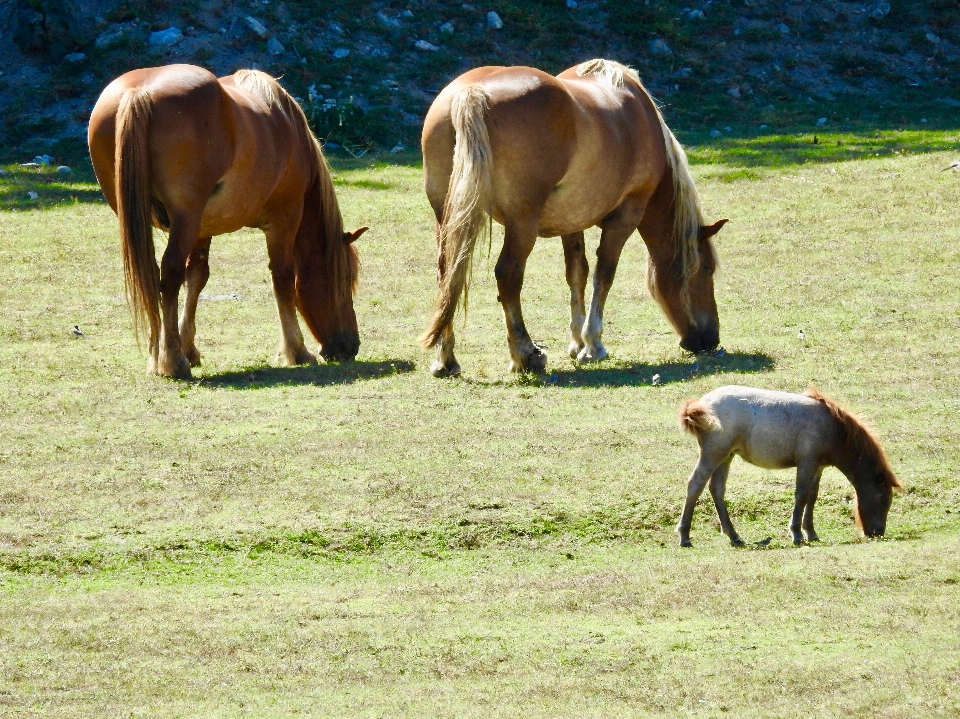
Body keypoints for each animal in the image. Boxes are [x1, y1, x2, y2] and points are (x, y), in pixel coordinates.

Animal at [88, 64, 366, 380]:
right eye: (346, 279)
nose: (350, 346)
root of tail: (140, 92)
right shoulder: (284, 220)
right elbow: (283, 279)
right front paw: (296, 351)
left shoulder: (202, 229)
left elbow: (197, 278)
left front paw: (188, 347)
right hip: (185, 219)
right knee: (169, 274)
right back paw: (172, 362)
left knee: (149, 277)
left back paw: (157, 356)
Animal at [420, 59, 728, 380]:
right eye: (707, 269)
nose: (710, 340)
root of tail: (471, 92)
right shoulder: (626, 216)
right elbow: (604, 274)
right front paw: (593, 345)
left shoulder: (571, 222)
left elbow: (577, 273)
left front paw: (577, 341)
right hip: (522, 224)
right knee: (508, 276)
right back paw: (525, 354)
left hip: (446, 218)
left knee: (448, 276)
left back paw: (446, 359)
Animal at [676, 388, 900, 544]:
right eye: (883, 501)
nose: (877, 533)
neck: (833, 427)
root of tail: (699, 405)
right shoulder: (806, 463)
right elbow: (801, 495)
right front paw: (797, 534)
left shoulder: (817, 467)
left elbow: (812, 496)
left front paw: (811, 532)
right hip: (713, 455)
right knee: (695, 485)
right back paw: (684, 536)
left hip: (726, 457)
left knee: (716, 489)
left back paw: (734, 536)